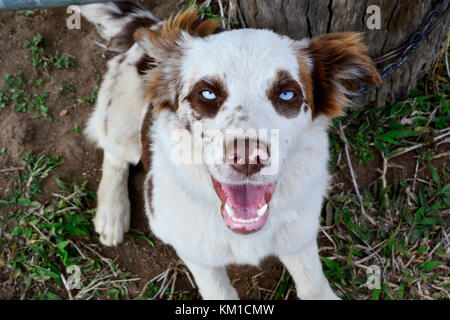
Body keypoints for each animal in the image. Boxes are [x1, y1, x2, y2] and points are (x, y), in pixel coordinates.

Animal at [80, 1, 380, 300]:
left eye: (287, 94)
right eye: (207, 94)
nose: (248, 158)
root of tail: (154, 25)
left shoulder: (299, 236)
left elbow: (313, 283)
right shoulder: (196, 252)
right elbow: (218, 291)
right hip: (122, 120)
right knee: (113, 153)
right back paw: (111, 214)